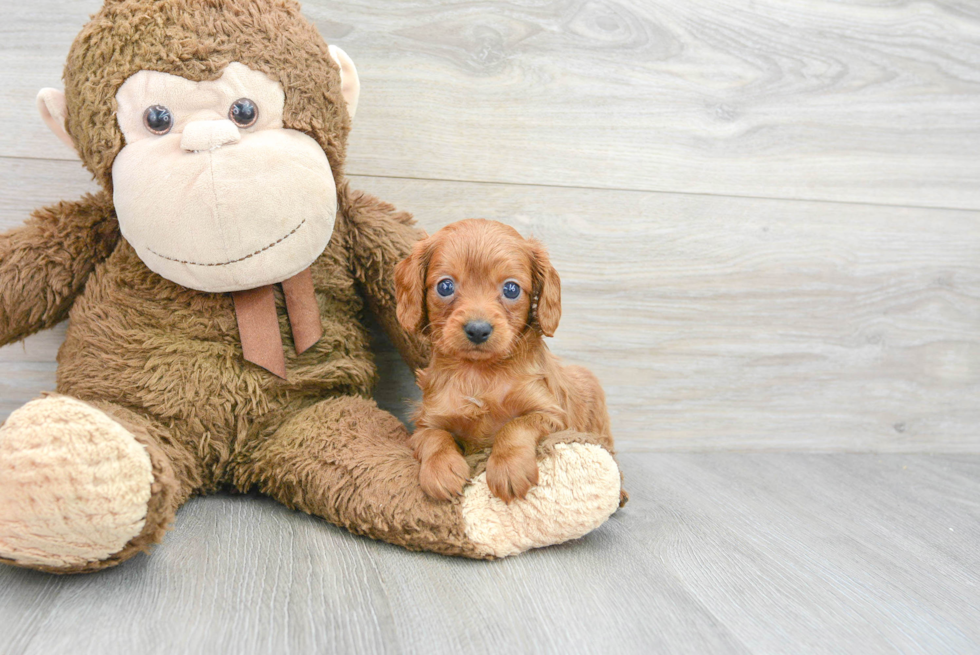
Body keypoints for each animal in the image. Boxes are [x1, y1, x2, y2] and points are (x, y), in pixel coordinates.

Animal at [392, 220, 612, 502]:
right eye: (445, 286)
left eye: (511, 289)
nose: (478, 330)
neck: (479, 373)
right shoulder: (428, 419)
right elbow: (434, 436)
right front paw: (441, 469)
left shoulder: (551, 415)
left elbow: (516, 426)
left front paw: (508, 468)